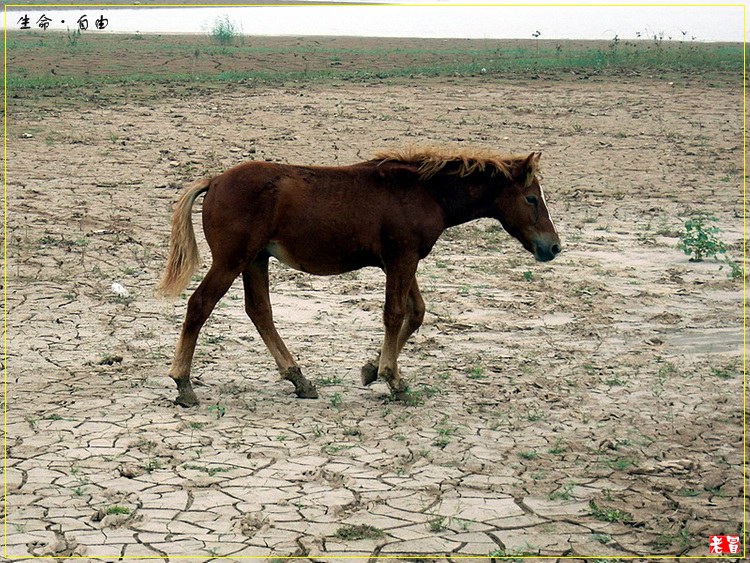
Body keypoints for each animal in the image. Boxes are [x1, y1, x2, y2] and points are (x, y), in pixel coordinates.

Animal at [156, 148, 560, 408]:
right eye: (531, 199)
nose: (553, 247)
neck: (424, 192)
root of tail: (214, 181)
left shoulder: (402, 260)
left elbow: (416, 313)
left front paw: (371, 369)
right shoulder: (401, 258)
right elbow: (394, 314)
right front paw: (392, 379)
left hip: (256, 260)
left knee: (260, 312)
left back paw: (299, 379)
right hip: (233, 259)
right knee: (200, 305)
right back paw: (184, 384)